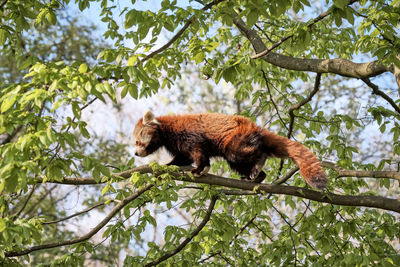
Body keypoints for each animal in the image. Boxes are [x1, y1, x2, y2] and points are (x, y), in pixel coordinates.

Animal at [134, 111, 328, 191]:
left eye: (137, 141)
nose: (135, 153)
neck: (166, 131)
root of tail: (256, 127)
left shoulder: (190, 134)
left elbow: (199, 152)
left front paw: (200, 169)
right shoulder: (178, 146)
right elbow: (182, 158)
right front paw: (165, 167)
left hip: (236, 140)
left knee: (240, 154)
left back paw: (258, 164)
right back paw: (255, 176)